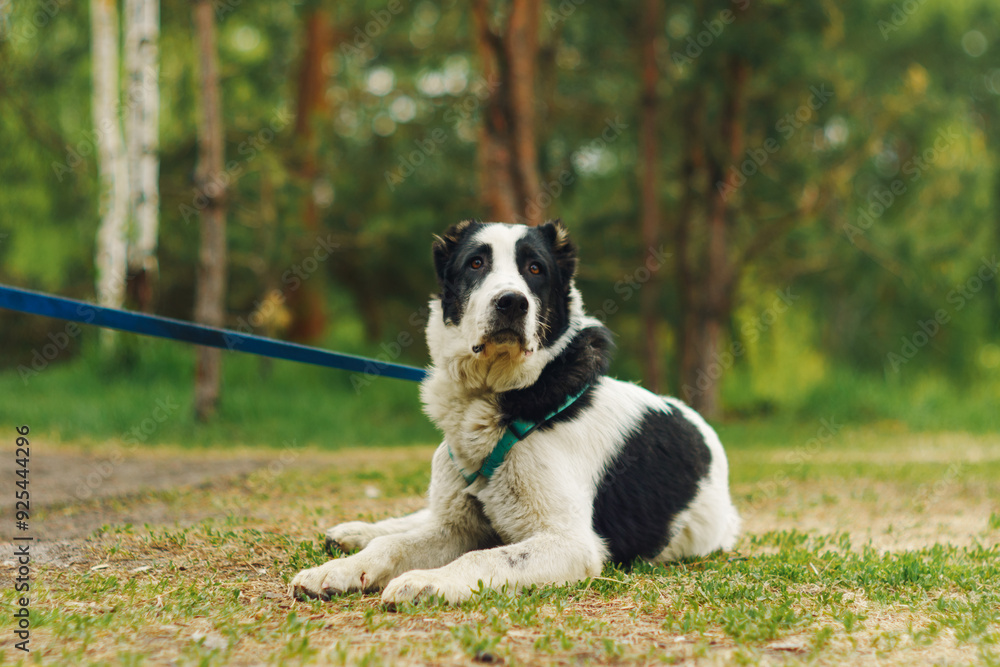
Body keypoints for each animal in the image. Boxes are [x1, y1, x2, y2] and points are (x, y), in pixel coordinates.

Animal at [291, 220, 740, 604]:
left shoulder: (570, 543)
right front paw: (339, 570)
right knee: (416, 519)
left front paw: (427, 581)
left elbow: (484, 556)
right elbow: (394, 543)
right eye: (476, 263)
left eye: (535, 269)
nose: (511, 302)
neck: (500, 394)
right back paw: (356, 532)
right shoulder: (458, 527)